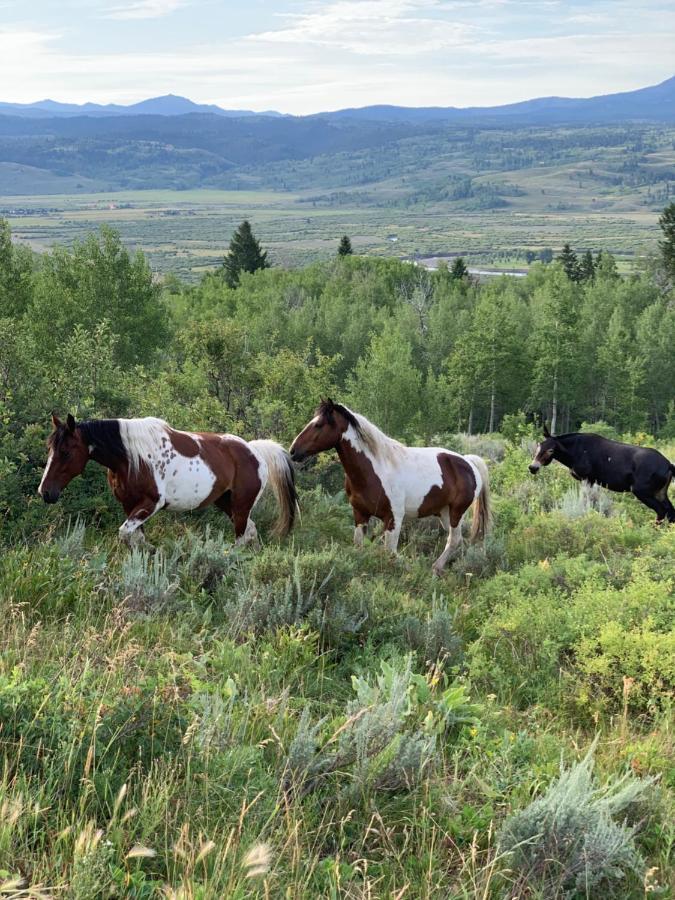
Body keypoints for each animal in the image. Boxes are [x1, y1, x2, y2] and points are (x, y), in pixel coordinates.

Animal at [38, 414, 298, 544]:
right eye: (49, 448)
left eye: (66, 452)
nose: (45, 492)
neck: (130, 457)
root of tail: (254, 451)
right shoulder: (129, 505)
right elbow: (135, 538)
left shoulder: (151, 504)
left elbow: (125, 534)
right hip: (227, 503)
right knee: (250, 531)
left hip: (241, 506)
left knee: (243, 535)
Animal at [290, 402, 492, 576]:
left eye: (319, 424)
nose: (293, 451)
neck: (375, 469)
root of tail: (468, 461)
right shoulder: (360, 514)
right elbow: (359, 545)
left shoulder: (393, 518)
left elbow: (390, 552)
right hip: (444, 513)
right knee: (457, 540)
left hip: (457, 512)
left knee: (454, 539)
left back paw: (436, 568)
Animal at [532, 428, 672, 524]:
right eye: (538, 447)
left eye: (550, 450)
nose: (532, 467)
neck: (571, 456)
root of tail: (670, 465)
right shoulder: (588, 480)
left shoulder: (587, 478)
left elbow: (586, 502)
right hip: (660, 492)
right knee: (670, 511)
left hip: (642, 491)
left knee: (662, 511)